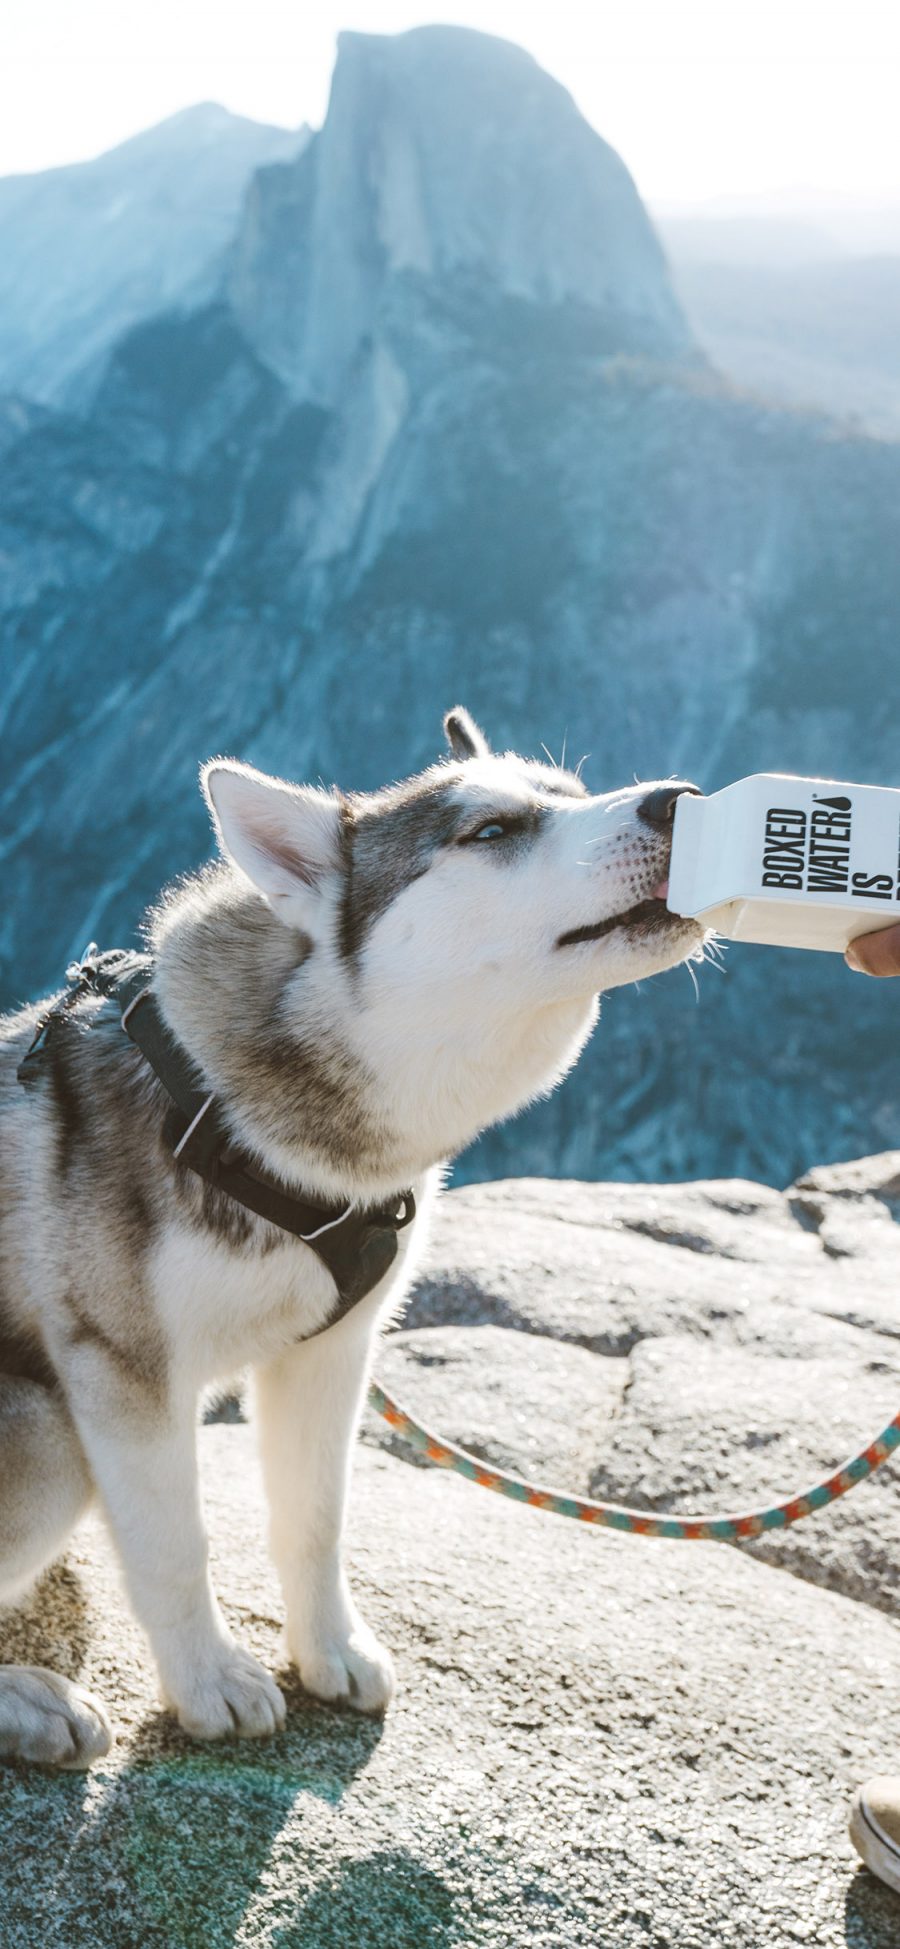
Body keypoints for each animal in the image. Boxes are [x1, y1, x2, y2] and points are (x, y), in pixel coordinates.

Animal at [0, 713, 701, 1769]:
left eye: (572, 794)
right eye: (491, 831)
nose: (681, 799)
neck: (236, 1118)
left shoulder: (333, 1347)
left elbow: (316, 1517)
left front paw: (328, 1648)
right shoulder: (124, 1371)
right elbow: (175, 1544)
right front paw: (207, 1679)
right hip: (49, 1438)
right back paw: (28, 1702)